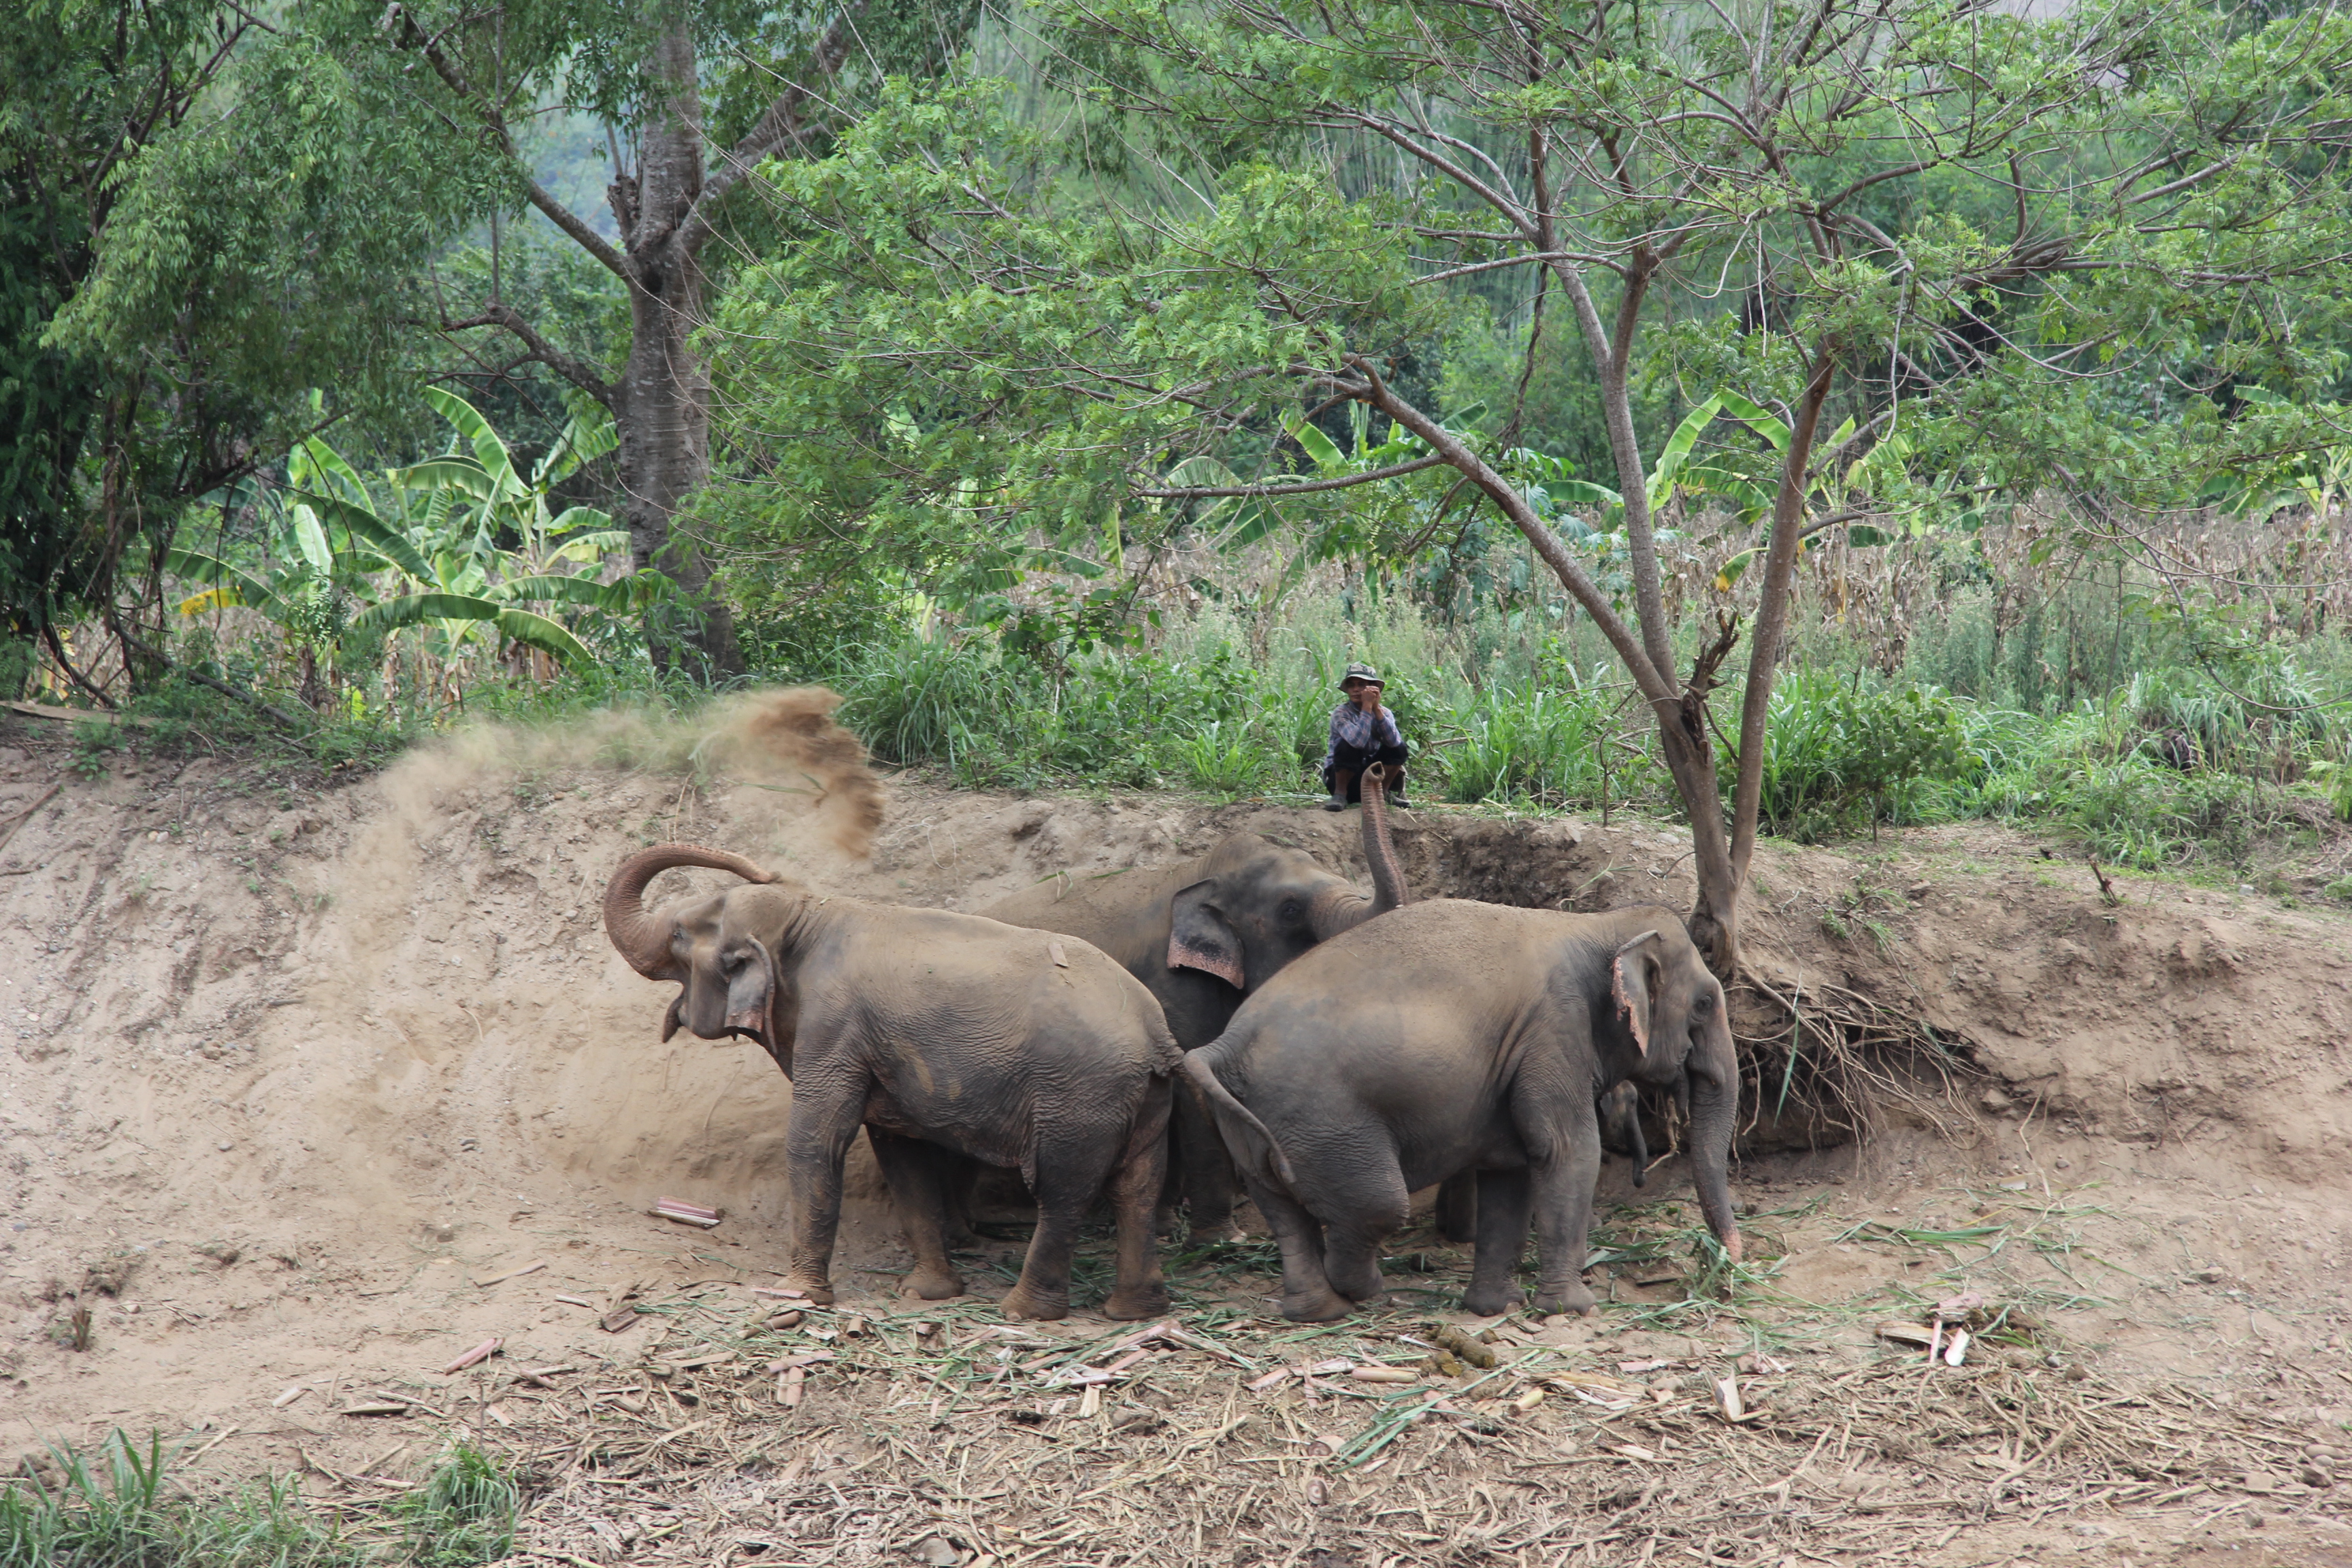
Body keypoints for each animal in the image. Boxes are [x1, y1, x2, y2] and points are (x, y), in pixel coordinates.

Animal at [603, 843, 1179, 1321]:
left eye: (679, 935)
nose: (764, 868)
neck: (803, 915)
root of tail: (1155, 1031)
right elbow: (901, 1154)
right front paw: (927, 1293)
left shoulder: (833, 1028)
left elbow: (818, 1139)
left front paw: (797, 1295)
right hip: (1144, 1097)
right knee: (1138, 1187)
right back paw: (1134, 1311)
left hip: (1079, 1096)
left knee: (1063, 1191)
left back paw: (1025, 1312)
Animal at [982, 769, 1409, 1231]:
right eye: (1291, 910)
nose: (1377, 771)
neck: (1200, 871)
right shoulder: (1173, 985)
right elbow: (1192, 1081)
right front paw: (1221, 1236)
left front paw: (1171, 1222)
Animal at [1183, 901, 1743, 1321]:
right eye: (1703, 1004)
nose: (1732, 1263)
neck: (1596, 923)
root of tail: (1225, 1044)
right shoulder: (1554, 1031)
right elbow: (1567, 1151)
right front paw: (1574, 1309)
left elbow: (1511, 1170)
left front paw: (1497, 1308)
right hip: (1327, 1122)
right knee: (1377, 1205)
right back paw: (1368, 1291)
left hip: (1255, 1124)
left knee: (1283, 1212)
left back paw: (1319, 1311)